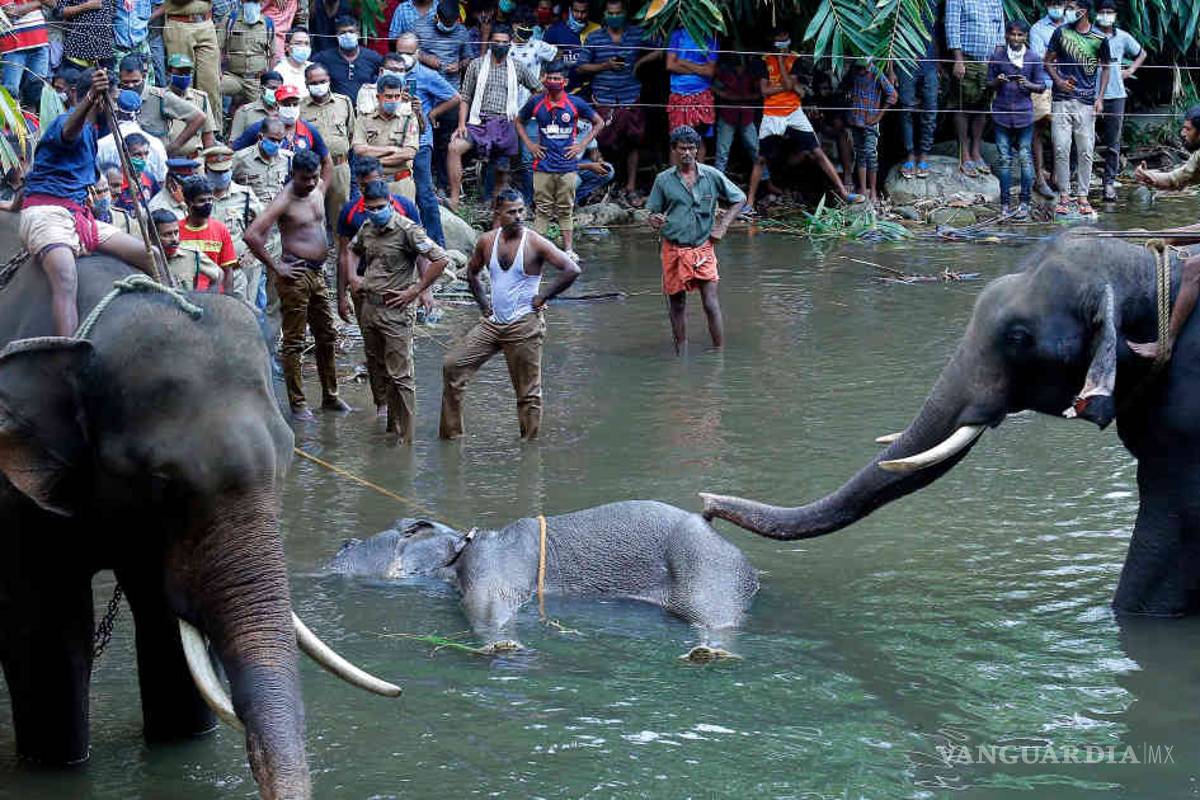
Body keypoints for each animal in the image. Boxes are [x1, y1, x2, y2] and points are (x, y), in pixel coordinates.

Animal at [329, 500, 761, 658]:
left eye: (406, 529)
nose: (342, 543)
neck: (461, 545)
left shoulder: (490, 567)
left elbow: (487, 606)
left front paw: (503, 647)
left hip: (706, 571)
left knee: (715, 619)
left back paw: (708, 653)